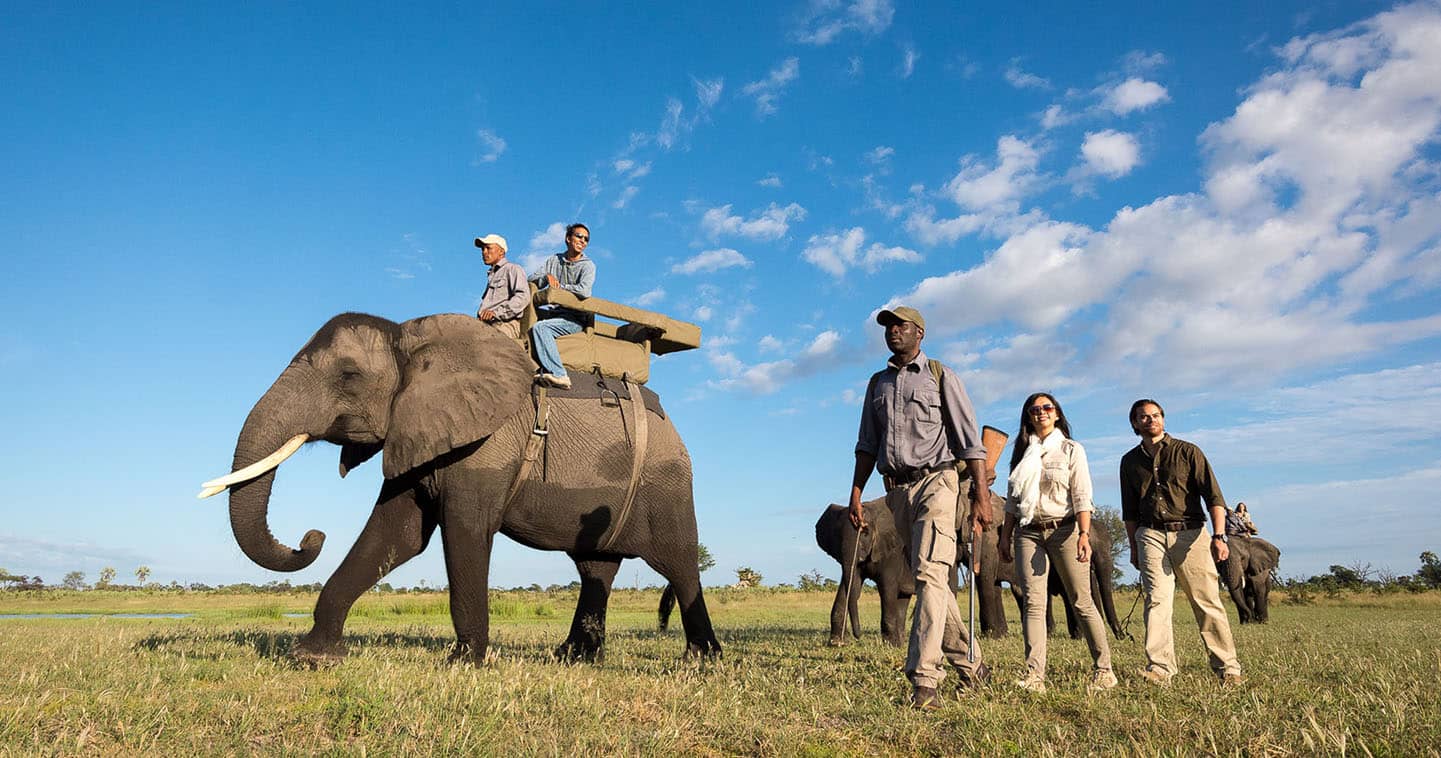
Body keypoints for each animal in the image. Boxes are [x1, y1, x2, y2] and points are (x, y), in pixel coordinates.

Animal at [203, 315, 720, 665]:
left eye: (347, 376)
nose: (311, 537)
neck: (410, 340)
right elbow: (397, 535)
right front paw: (312, 658)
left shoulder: (486, 447)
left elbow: (464, 531)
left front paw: (465, 663)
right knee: (597, 568)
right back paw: (572, 658)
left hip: (667, 482)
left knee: (678, 562)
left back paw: (702, 661)